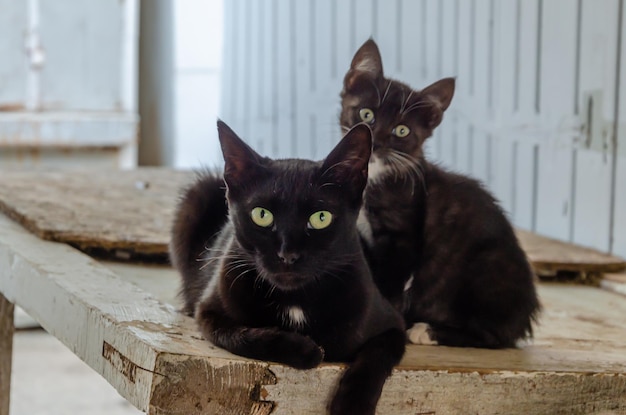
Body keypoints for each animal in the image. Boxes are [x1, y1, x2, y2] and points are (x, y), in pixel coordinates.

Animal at [171, 120, 404, 415]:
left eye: (320, 218)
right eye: (261, 215)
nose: (287, 254)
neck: (297, 300)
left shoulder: (394, 324)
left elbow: (375, 356)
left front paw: (353, 405)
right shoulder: (209, 311)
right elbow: (241, 335)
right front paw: (306, 350)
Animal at [338, 39, 540, 352]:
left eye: (401, 130)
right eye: (366, 114)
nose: (377, 142)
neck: (374, 178)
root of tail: (526, 315)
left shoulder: (403, 239)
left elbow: (389, 284)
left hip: (485, 266)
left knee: (492, 337)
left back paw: (427, 330)